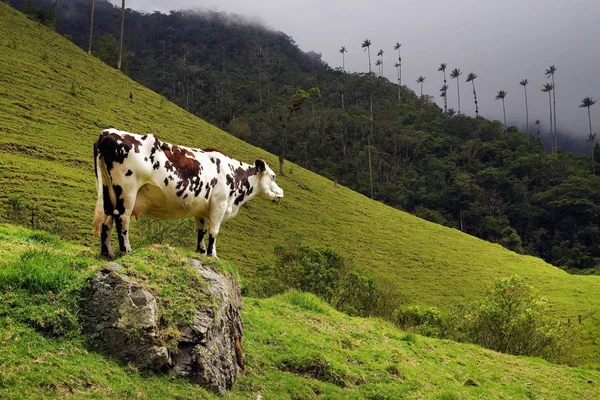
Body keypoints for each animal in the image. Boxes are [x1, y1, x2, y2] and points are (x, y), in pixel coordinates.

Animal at [91, 128, 284, 260]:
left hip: (108, 192)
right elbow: (214, 231)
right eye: (273, 176)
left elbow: (201, 231)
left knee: (107, 220)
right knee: (121, 219)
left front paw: (201, 252)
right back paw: (126, 250)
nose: (281, 192)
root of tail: (108, 133)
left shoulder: (202, 209)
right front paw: (212, 255)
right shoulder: (219, 204)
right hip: (127, 191)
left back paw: (107, 253)